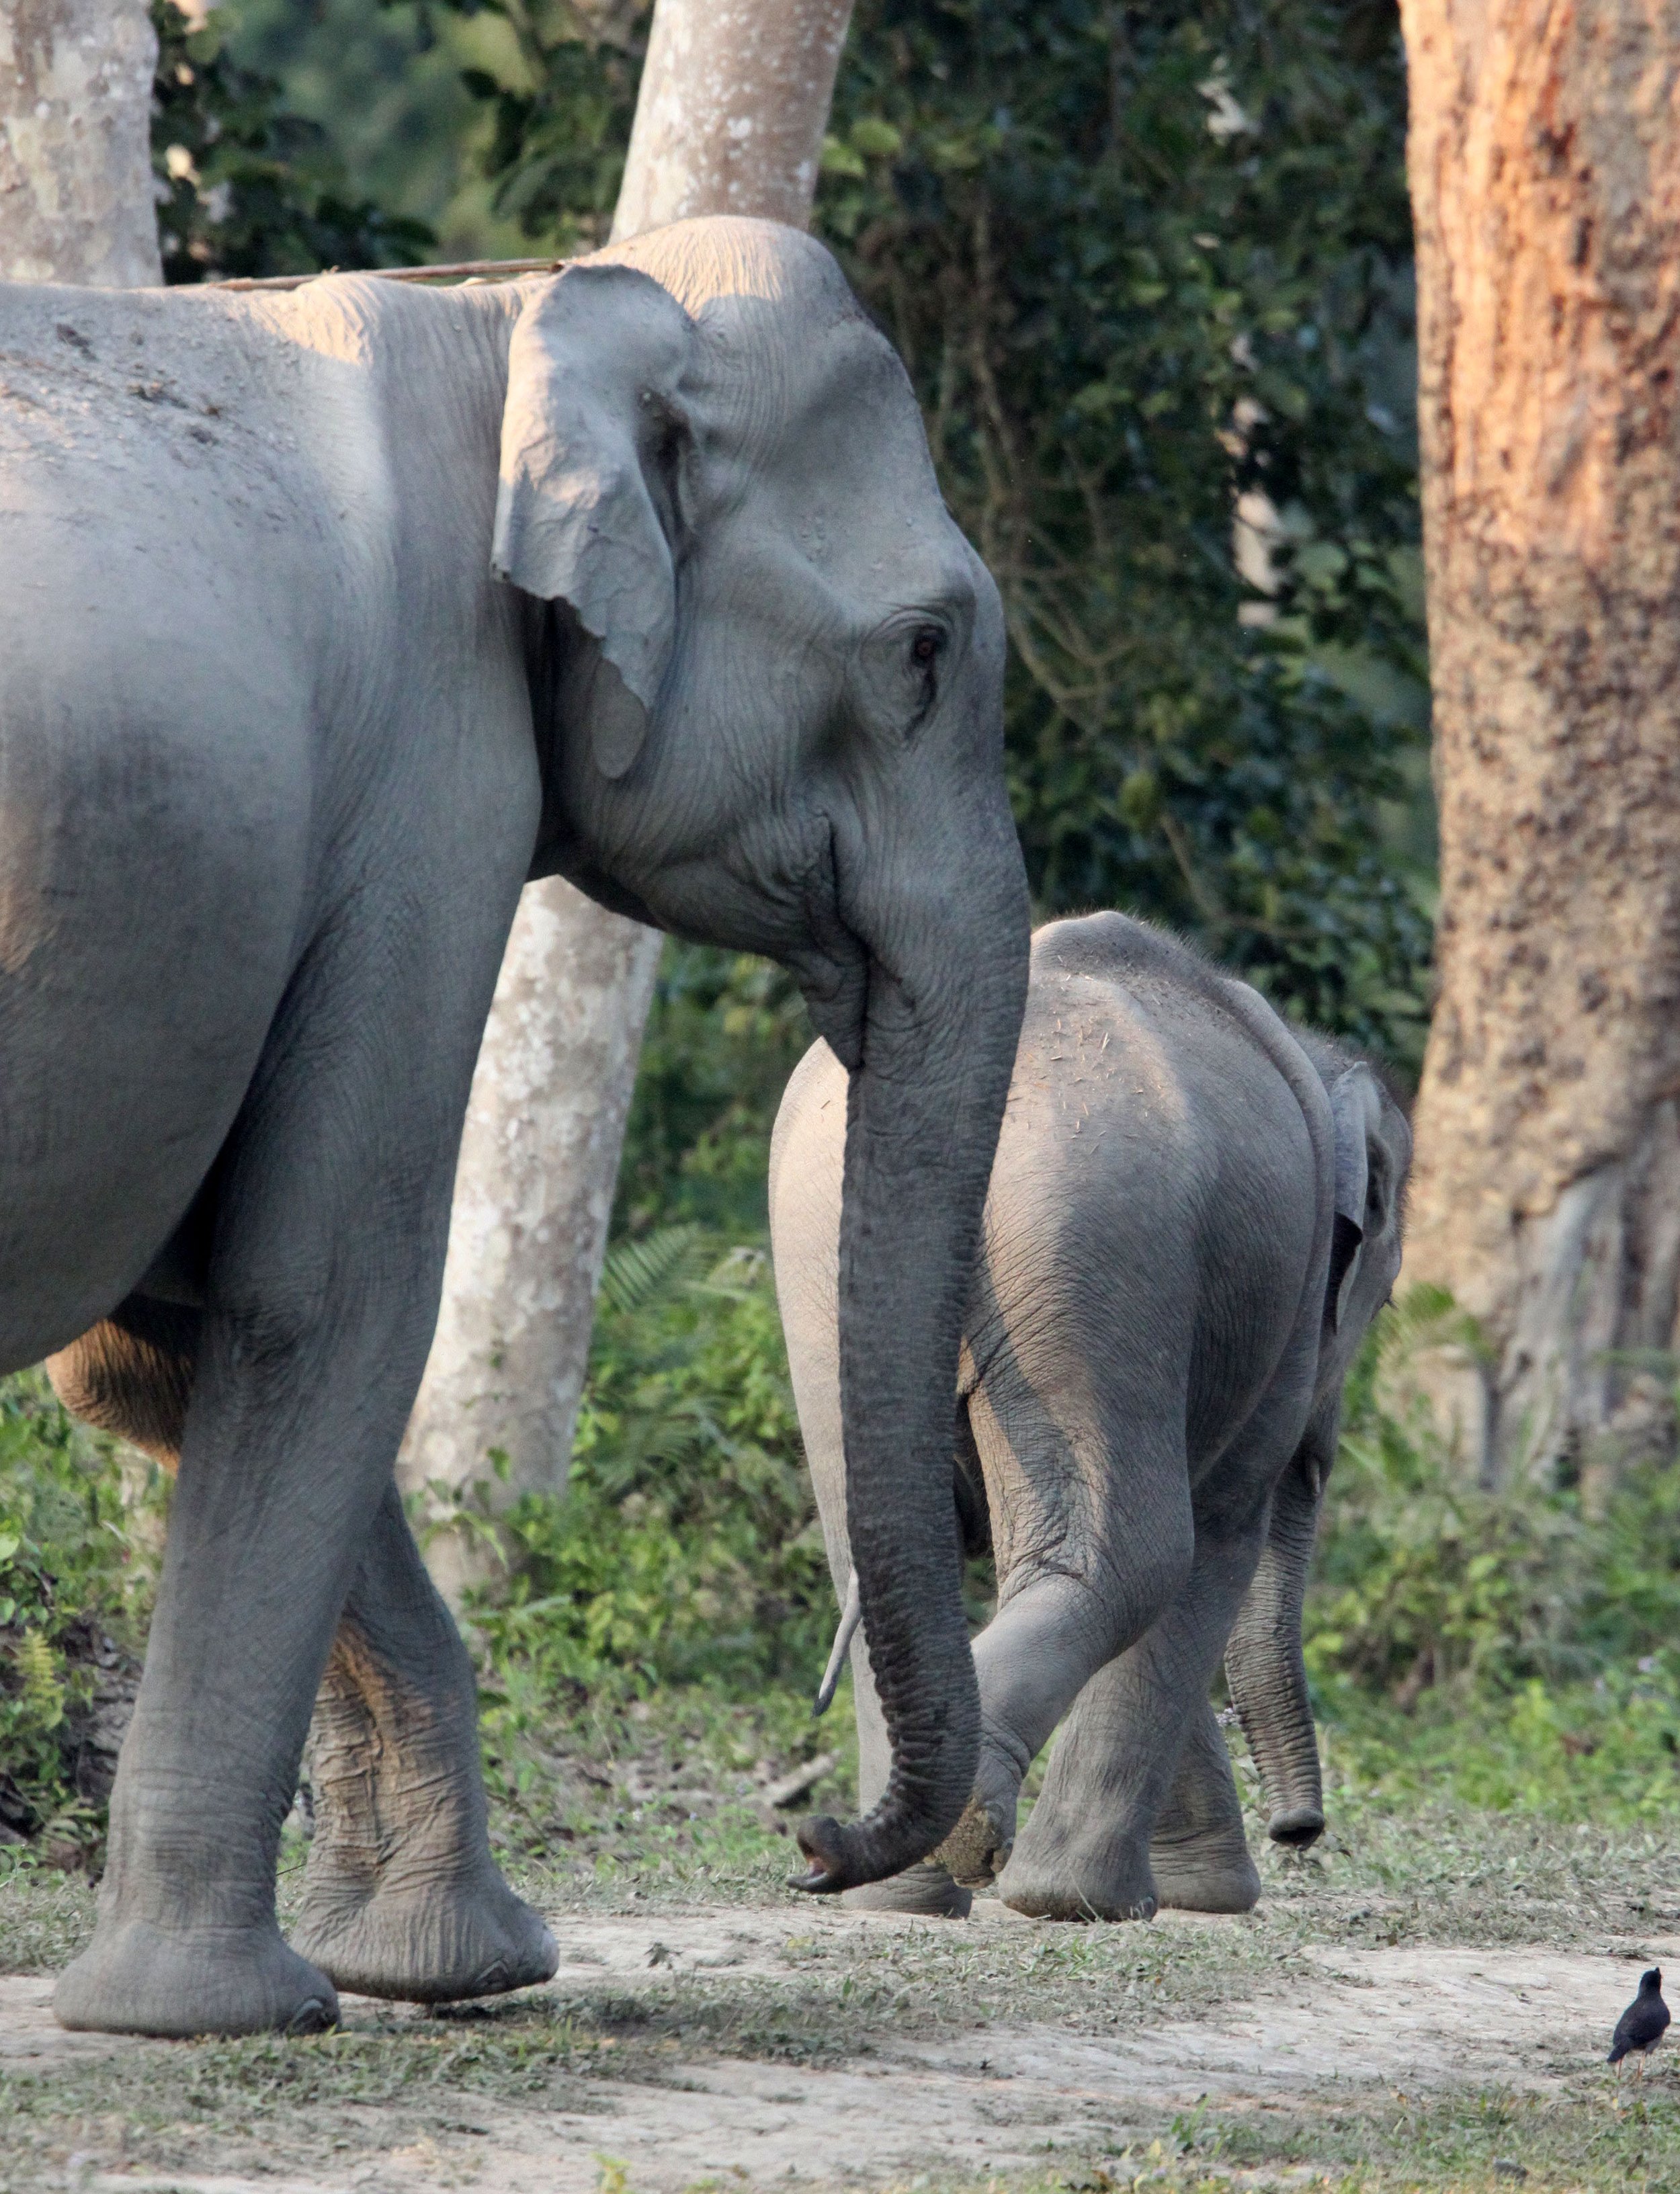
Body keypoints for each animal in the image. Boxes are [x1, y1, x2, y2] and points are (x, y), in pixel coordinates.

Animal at [0, 214, 1029, 2035]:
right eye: (924, 648)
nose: (807, 1840)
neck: (515, 310)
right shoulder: (430, 779)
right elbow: (323, 1289)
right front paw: (213, 2009)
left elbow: (156, 1352)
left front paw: (450, 1963)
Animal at [771, 911, 1410, 1922]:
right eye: (1378, 1300)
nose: (1300, 1831)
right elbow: (1220, 1534)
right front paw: (1171, 1898)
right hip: (1094, 1228)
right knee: (1145, 1549)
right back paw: (978, 1845)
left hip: (833, 1254)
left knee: (876, 1552)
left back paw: (886, 1879)